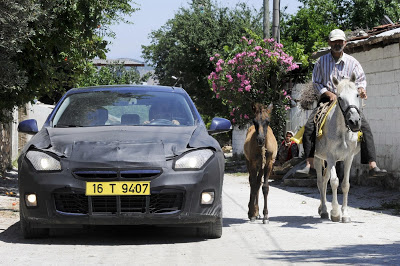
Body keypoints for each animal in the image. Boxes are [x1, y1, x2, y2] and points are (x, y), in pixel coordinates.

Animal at [316, 72, 362, 222]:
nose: (354, 121)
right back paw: (325, 210)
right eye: (340, 98)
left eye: (357, 94)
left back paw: (322, 209)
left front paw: (345, 214)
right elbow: (335, 181)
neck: (342, 132)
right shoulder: (331, 157)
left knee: (324, 180)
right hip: (318, 159)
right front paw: (335, 213)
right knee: (320, 181)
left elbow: (345, 185)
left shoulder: (348, 158)